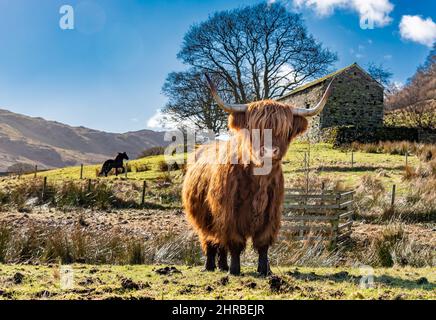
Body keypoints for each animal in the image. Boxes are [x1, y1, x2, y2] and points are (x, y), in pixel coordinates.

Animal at [181, 74, 334, 276]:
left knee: (220, 243)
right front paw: (235, 270)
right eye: (255, 129)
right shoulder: (228, 213)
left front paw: (264, 270)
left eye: (285, 130)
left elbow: (263, 243)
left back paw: (222, 266)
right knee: (210, 240)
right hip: (203, 217)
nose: (269, 151)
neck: (259, 179)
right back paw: (210, 266)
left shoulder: (271, 212)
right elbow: (235, 242)